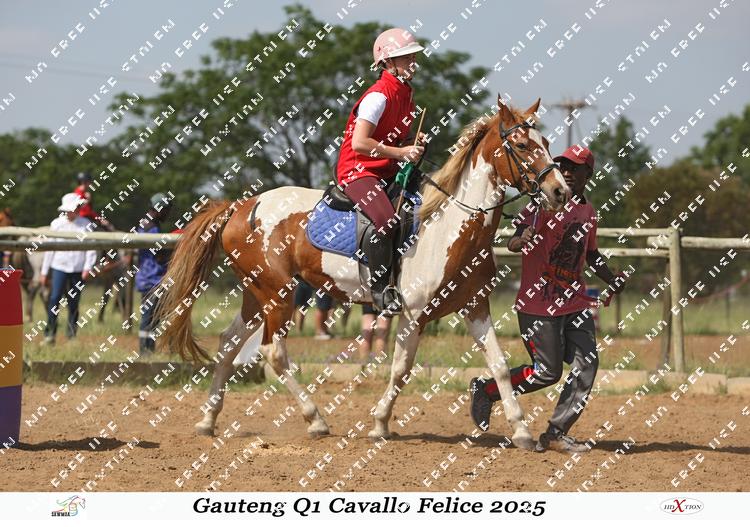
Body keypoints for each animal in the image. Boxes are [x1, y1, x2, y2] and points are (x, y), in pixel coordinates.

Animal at [155, 96, 571, 450]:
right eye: (522, 145)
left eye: (547, 141)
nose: (560, 191)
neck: (449, 225)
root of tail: (242, 206)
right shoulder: (413, 315)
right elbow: (401, 369)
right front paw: (380, 423)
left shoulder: (475, 308)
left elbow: (499, 365)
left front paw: (521, 430)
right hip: (278, 294)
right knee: (273, 351)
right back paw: (315, 419)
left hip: (256, 294)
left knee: (229, 343)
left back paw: (208, 419)